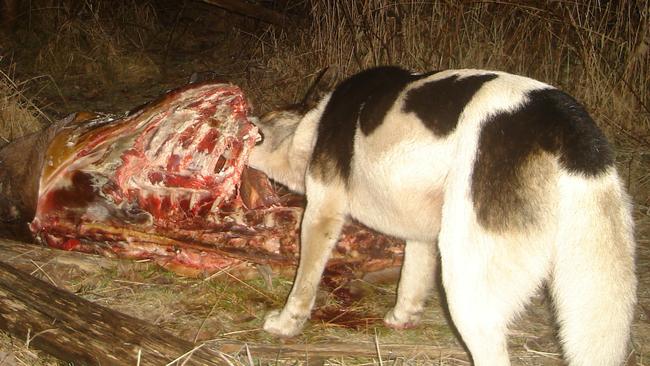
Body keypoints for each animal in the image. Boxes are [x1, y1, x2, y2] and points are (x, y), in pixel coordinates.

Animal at [247, 67, 632, 364]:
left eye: (265, 118)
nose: (247, 115)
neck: (312, 125)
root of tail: (566, 124)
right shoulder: (421, 238)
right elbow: (411, 283)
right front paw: (402, 318)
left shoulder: (322, 211)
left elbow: (304, 284)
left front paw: (285, 324)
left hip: (466, 282)